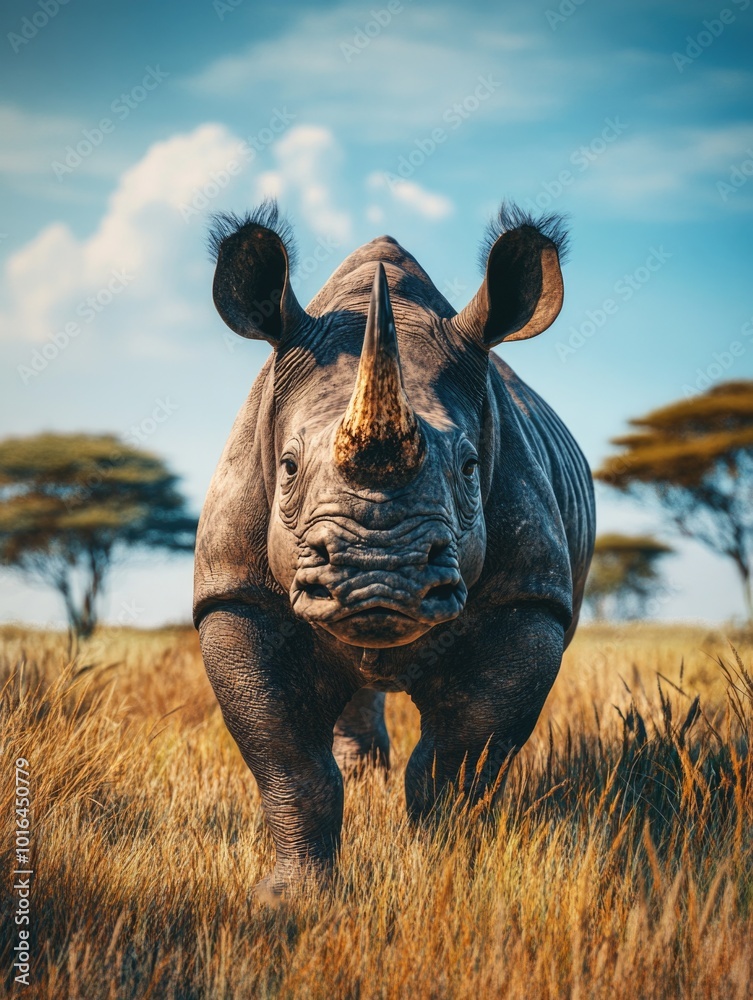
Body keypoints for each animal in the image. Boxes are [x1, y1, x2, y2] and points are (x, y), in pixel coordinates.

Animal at [194, 201, 595, 896]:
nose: (377, 580)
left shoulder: (528, 600)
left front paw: (446, 880)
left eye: (469, 467)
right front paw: (291, 900)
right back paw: (362, 776)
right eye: (289, 466)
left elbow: (459, 760)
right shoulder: (232, 594)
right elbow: (287, 758)